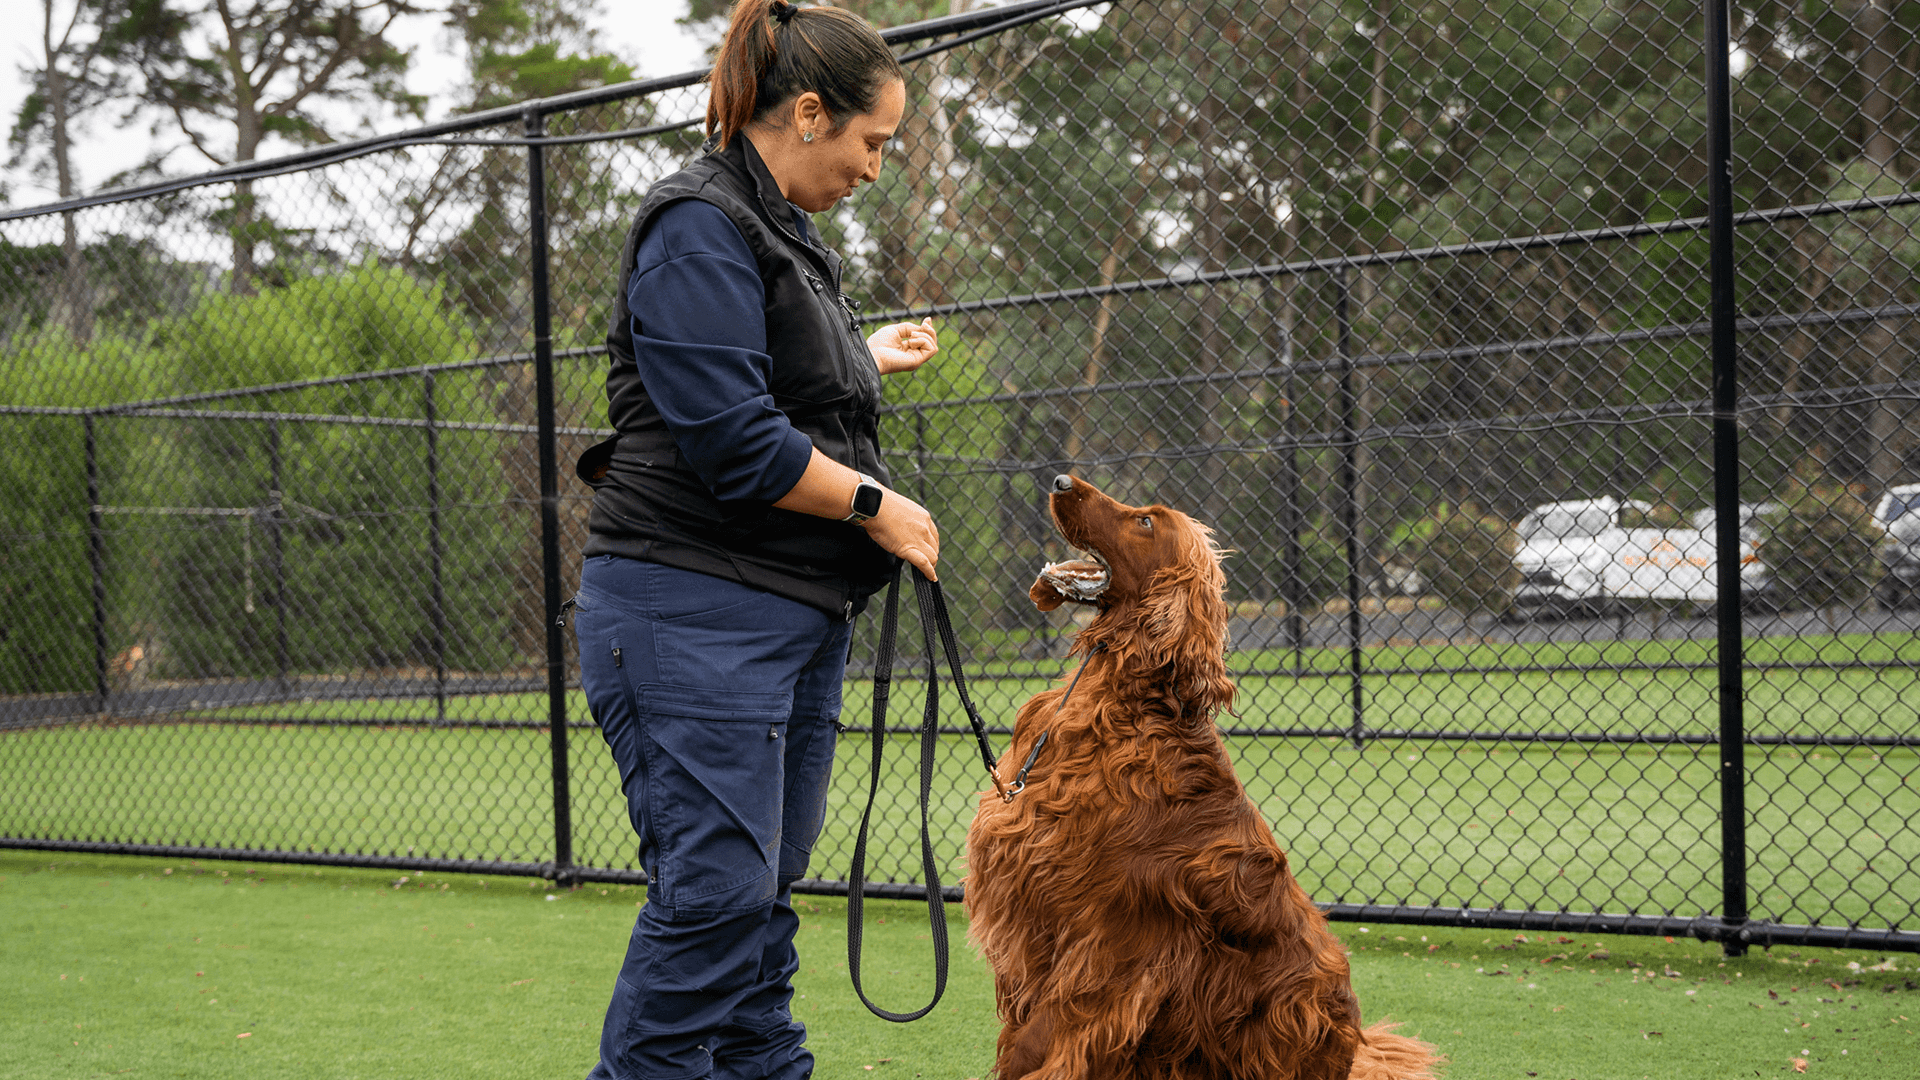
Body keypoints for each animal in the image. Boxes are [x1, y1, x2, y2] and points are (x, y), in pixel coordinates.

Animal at [967, 474, 1436, 1076]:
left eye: (1145, 521)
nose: (1060, 480)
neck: (1125, 701)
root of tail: (1350, 1052)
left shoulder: (1112, 942)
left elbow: (1042, 1040)